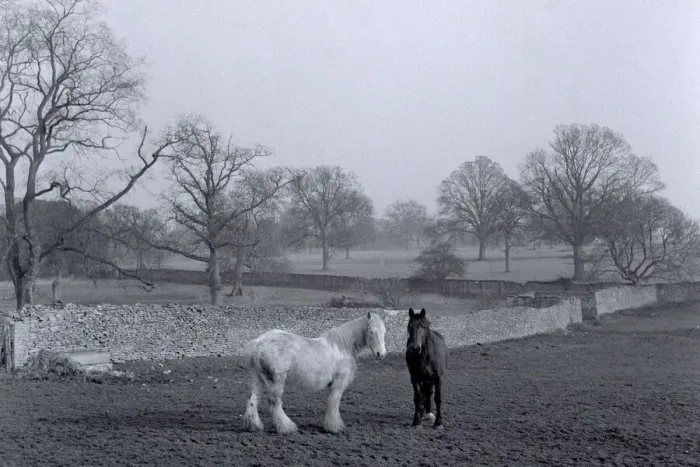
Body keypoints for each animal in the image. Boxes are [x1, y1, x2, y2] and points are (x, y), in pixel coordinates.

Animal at [242, 310, 387, 434]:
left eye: (384, 331)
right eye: (372, 331)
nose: (381, 354)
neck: (342, 347)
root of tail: (258, 342)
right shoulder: (338, 384)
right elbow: (333, 403)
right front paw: (335, 427)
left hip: (259, 379)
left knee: (253, 400)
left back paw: (254, 426)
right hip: (275, 381)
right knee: (275, 403)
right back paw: (287, 428)